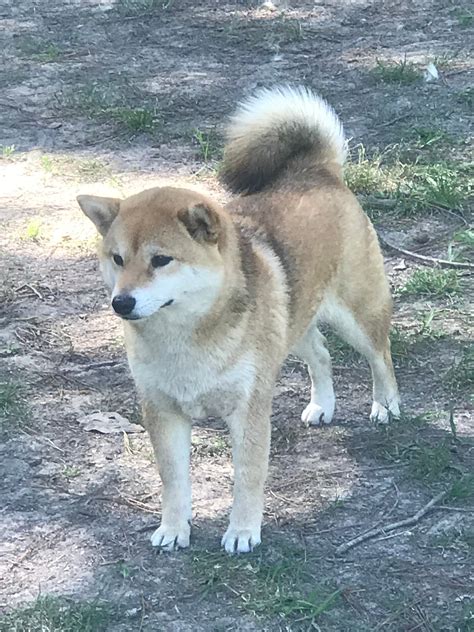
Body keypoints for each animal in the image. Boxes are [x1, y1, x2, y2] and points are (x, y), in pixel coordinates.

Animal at [78, 85, 400, 552]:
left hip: (357, 314)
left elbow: (247, 477)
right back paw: (322, 405)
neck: (186, 340)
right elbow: (173, 480)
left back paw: (385, 405)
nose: (122, 302)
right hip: (292, 323)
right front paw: (173, 529)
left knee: (380, 355)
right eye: (117, 259)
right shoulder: (162, 410)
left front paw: (243, 531)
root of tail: (316, 172)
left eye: (161, 260)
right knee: (321, 356)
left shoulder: (249, 409)